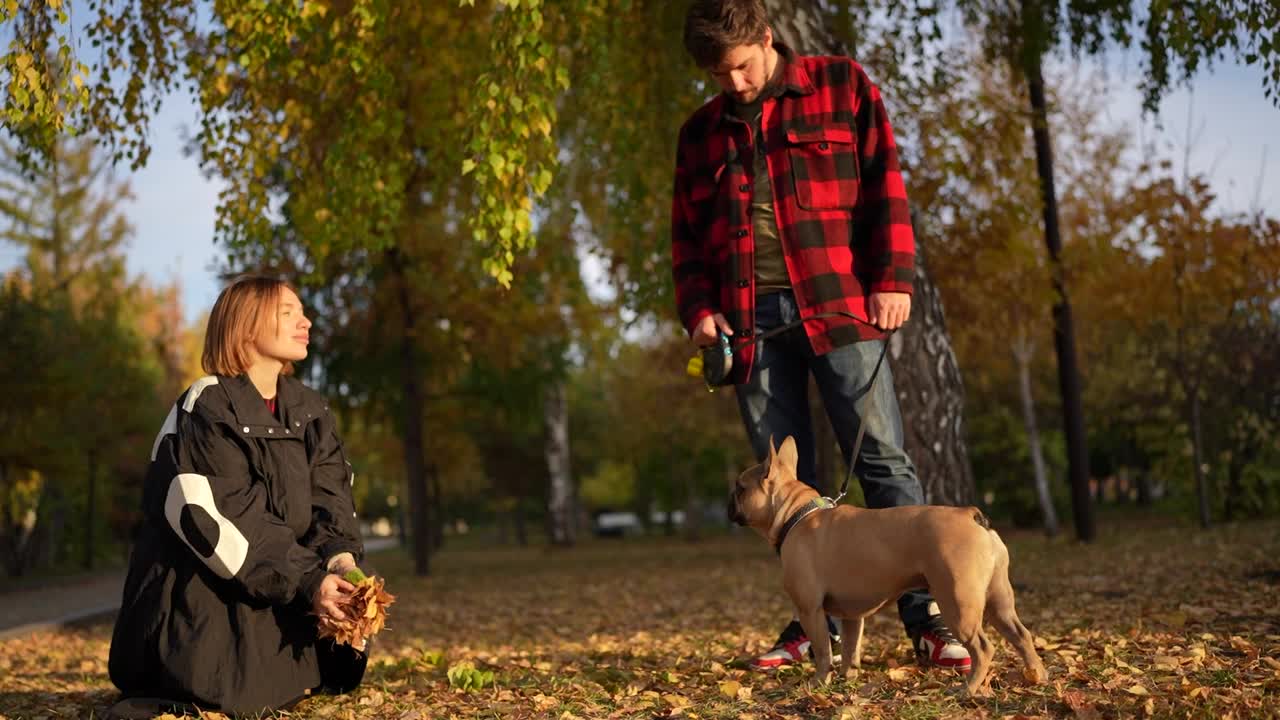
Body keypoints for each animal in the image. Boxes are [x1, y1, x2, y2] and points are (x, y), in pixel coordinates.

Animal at [732, 435, 1049, 691]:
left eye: (740, 488)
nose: (729, 500)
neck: (797, 513)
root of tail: (970, 515)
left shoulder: (810, 609)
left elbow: (823, 652)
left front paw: (818, 683)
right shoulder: (852, 615)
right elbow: (851, 650)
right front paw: (848, 679)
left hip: (958, 601)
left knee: (983, 648)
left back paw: (968, 689)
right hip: (998, 600)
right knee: (1021, 635)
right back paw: (1038, 676)